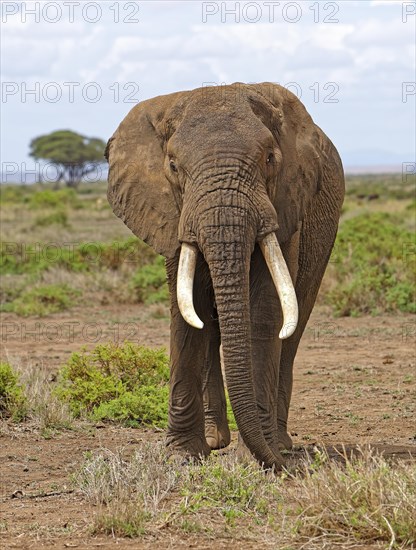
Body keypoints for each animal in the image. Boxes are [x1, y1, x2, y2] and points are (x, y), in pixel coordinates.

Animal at [106, 82, 344, 470]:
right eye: (173, 166)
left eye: (270, 159)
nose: (281, 465)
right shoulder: (173, 213)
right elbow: (188, 311)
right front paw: (183, 457)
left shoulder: (284, 205)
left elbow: (265, 310)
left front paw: (257, 456)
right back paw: (217, 440)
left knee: (292, 330)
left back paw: (278, 442)